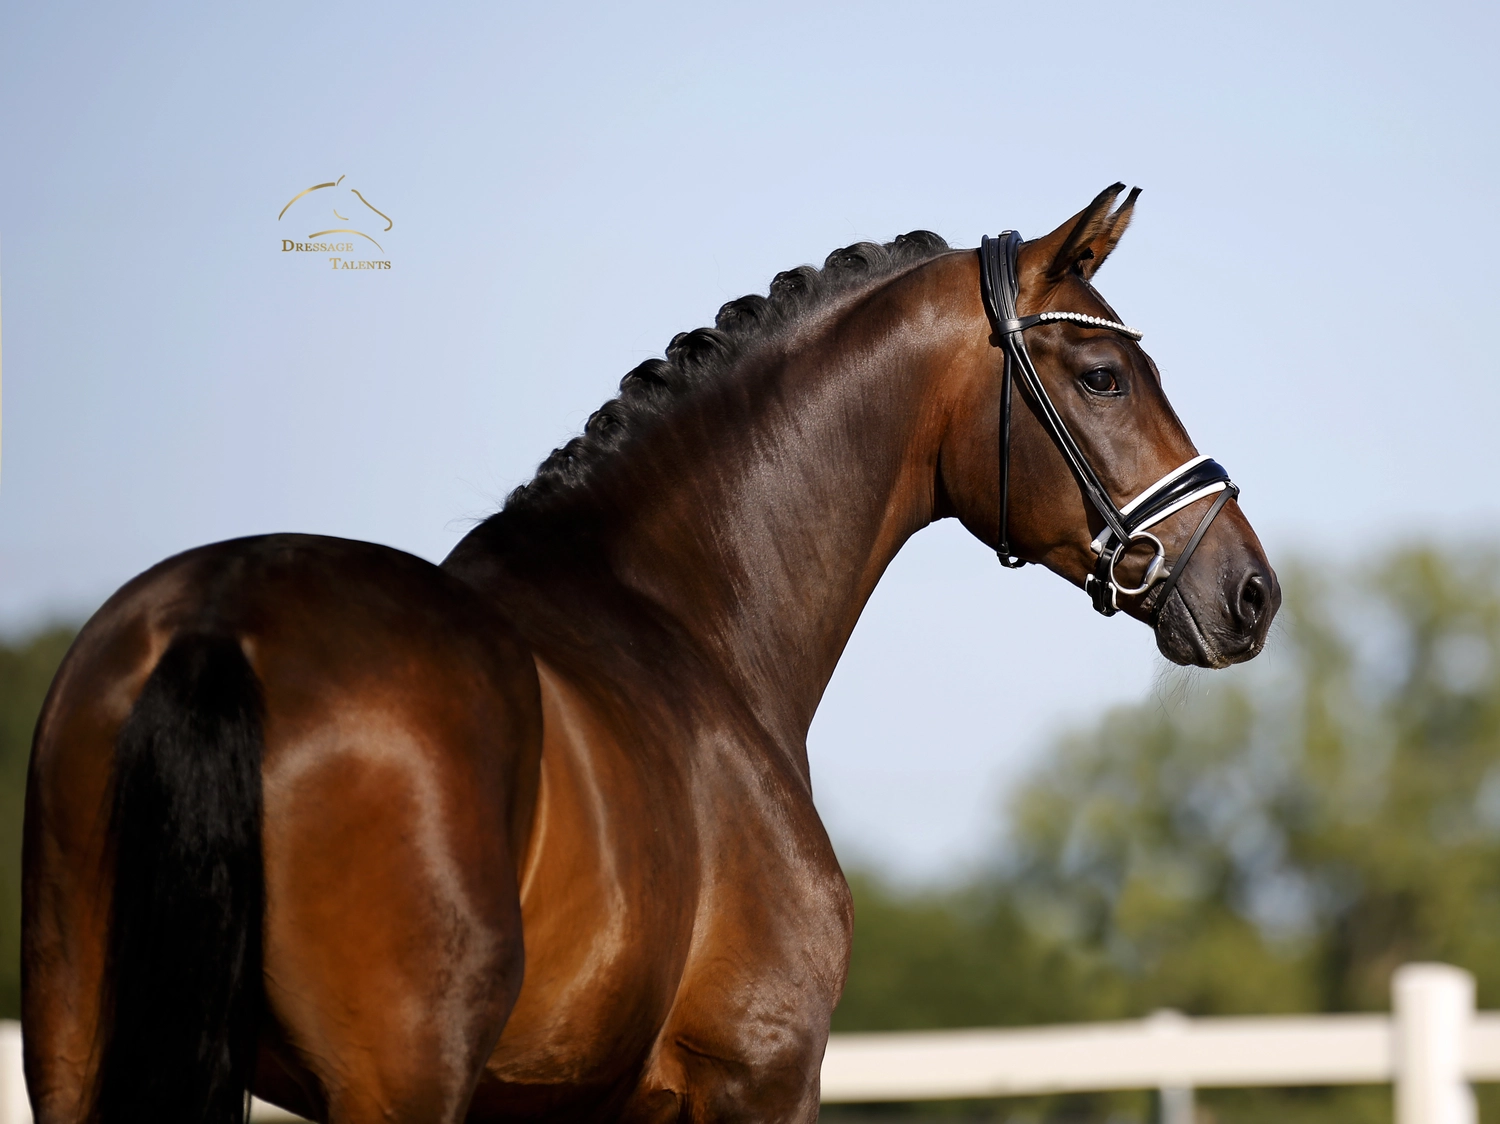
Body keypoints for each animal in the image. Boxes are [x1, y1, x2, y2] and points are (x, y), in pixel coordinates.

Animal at [21, 184, 1279, 1124]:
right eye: (1103, 376)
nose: (1251, 591)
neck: (689, 617)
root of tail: (216, 619)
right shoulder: (759, 1077)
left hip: (76, 1051)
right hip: (392, 1078)